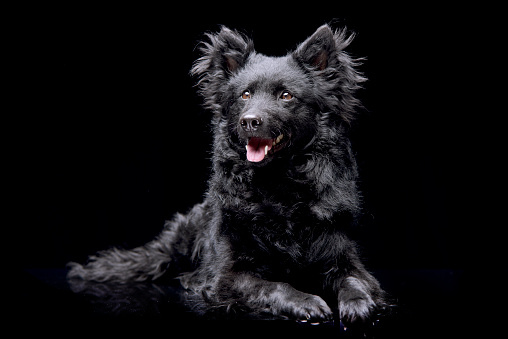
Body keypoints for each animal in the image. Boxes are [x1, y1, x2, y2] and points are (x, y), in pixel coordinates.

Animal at [66, 24, 384, 324]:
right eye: (245, 95)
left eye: (286, 95)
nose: (249, 121)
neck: (277, 183)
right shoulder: (227, 275)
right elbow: (274, 285)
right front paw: (306, 302)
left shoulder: (341, 252)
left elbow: (354, 280)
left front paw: (359, 303)